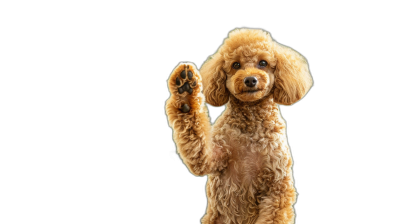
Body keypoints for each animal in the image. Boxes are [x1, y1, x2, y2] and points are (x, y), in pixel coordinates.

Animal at [165, 28, 312, 224]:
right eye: (236, 65)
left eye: (263, 63)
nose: (250, 80)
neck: (251, 123)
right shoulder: (211, 157)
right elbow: (197, 145)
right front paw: (186, 93)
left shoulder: (277, 186)